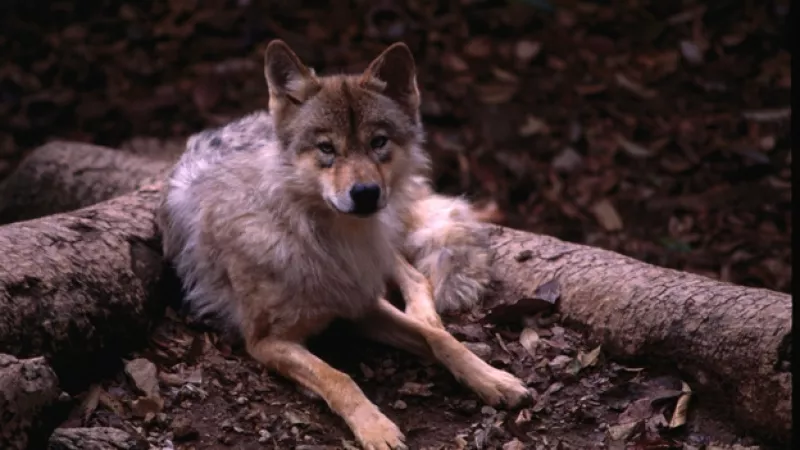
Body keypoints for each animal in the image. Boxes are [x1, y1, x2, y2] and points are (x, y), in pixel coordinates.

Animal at [158, 39, 531, 450]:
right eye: (326, 148)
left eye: (378, 142)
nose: (365, 193)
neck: (320, 240)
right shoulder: (266, 342)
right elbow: (338, 377)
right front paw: (376, 428)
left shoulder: (360, 303)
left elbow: (439, 342)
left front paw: (491, 379)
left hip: (384, 241)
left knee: (417, 282)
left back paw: (429, 316)